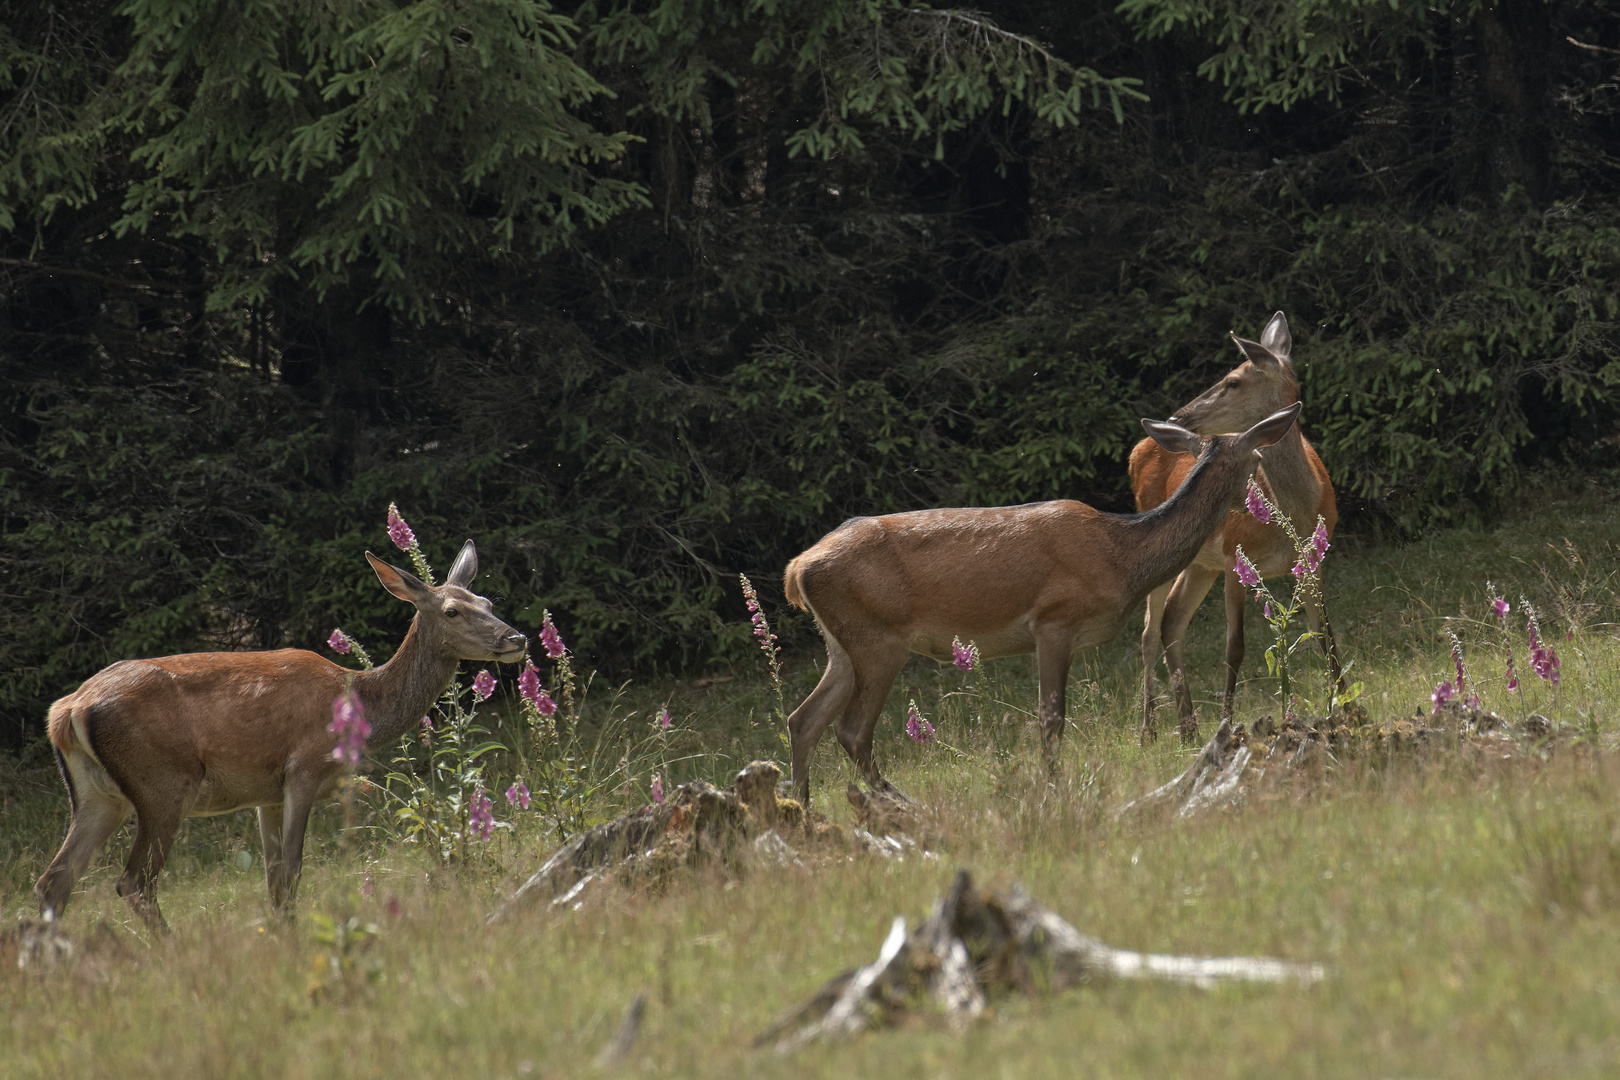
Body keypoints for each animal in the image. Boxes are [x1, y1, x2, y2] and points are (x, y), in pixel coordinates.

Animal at [33, 540, 524, 932]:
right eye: (452, 611)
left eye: (487, 602)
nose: (516, 638)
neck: (359, 701)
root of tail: (67, 710)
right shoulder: (303, 768)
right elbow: (291, 871)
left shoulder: (264, 793)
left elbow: (272, 878)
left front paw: (281, 935)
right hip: (162, 783)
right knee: (133, 881)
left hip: (98, 795)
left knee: (55, 878)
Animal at [784, 401, 1302, 806]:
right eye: (1258, 456)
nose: (1265, 503)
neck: (1121, 557)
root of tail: (798, 567)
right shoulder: (1054, 620)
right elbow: (1051, 720)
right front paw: (1054, 789)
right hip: (878, 638)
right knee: (852, 730)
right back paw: (902, 803)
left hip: (843, 644)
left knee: (803, 719)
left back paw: (802, 810)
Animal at [1127, 312, 1341, 748]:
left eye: (1234, 381)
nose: (1178, 416)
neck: (1295, 514)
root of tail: (1137, 448)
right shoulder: (1233, 555)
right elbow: (1235, 648)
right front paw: (1226, 721)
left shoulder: (1314, 561)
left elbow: (1324, 635)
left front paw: (1341, 700)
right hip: (1166, 546)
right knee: (1149, 629)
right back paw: (1150, 730)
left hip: (1198, 562)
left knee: (1172, 619)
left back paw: (1188, 726)